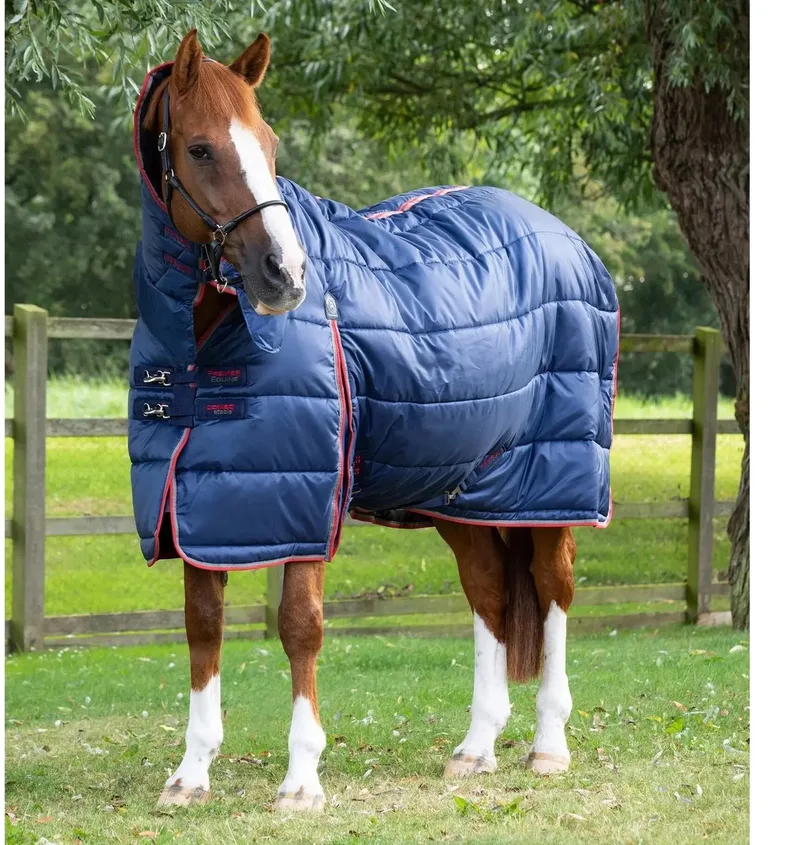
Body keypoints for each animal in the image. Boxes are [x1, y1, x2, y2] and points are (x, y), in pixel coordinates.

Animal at [133, 30, 616, 812]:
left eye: (270, 144)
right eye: (200, 149)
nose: (285, 273)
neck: (204, 349)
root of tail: (572, 244)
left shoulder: (303, 499)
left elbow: (299, 626)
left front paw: (301, 780)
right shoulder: (201, 508)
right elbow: (202, 626)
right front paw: (191, 774)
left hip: (554, 488)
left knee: (553, 591)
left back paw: (548, 745)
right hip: (463, 492)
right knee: (488, 591)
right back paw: (476, 747)